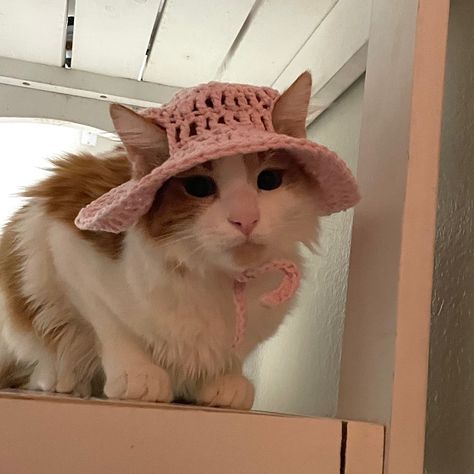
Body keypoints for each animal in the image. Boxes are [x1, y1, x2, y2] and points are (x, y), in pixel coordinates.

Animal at [0, 72, 320, 410]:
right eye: (199, 186)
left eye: (269, 180)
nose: (245, 220)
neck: (216, 281)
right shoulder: (63, 240)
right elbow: (112, 327)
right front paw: (138, 373)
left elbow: (232, 355)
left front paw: (225, 379)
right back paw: (60, 379)